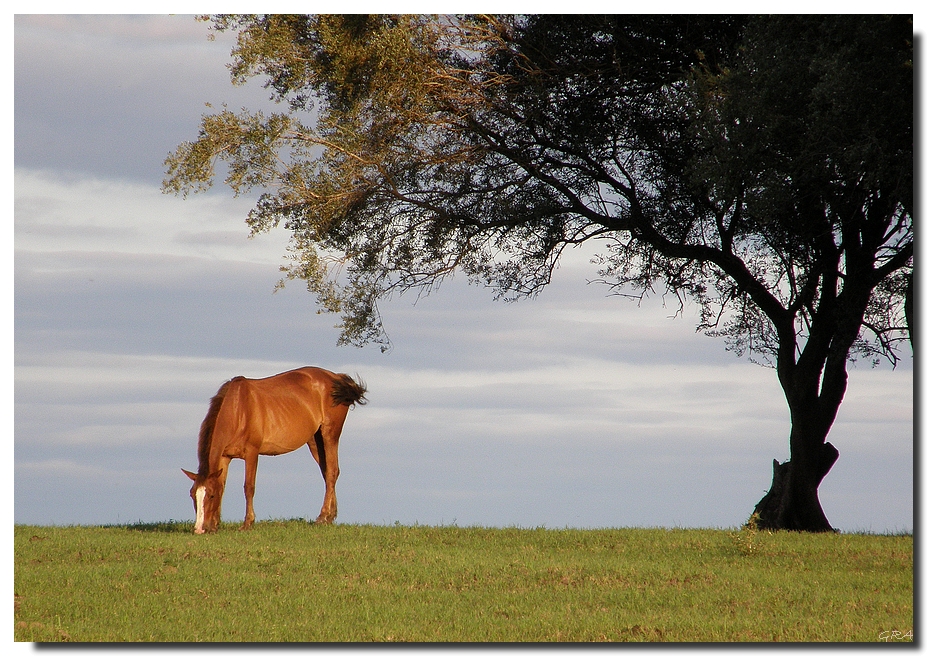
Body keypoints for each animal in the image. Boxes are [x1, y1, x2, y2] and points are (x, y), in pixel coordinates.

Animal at [183, 366, 368, 536]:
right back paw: (330, 516)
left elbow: (249, 487)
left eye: (210, 496)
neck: (238, 410)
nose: (199, 529)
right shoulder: (225, 457)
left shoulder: (252, 453)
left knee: (331, 472)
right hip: (315, 442)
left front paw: (247, 523)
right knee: (328, 473)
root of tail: (336, 377)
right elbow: (222, 485)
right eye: (192, 495)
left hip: (330, 435)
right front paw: (215, 524)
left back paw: (323, 517)